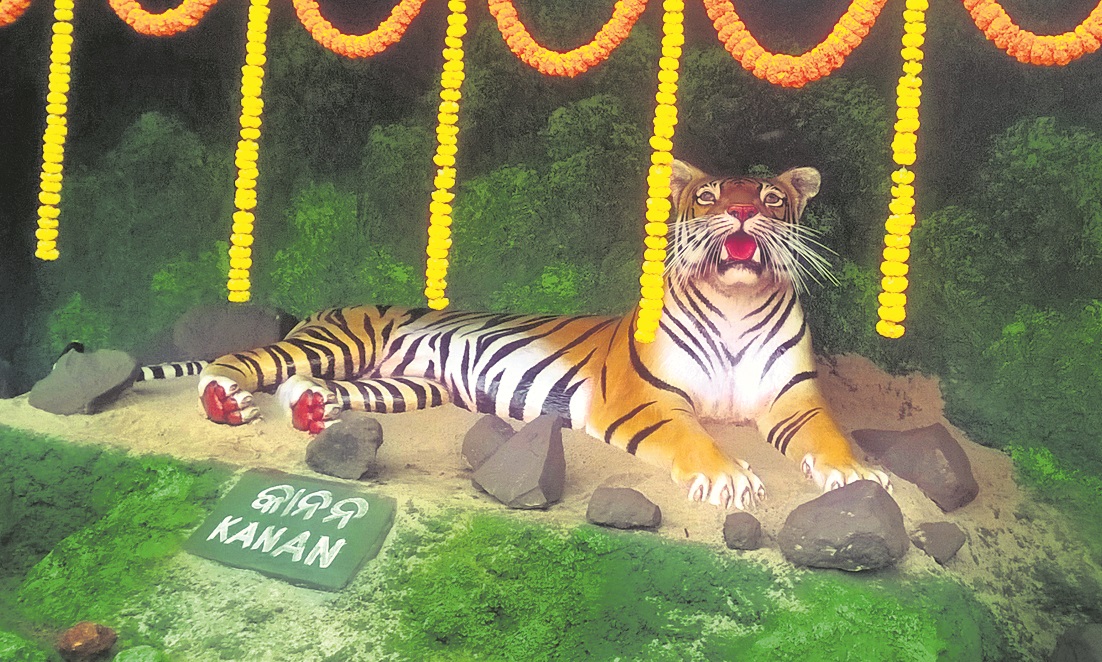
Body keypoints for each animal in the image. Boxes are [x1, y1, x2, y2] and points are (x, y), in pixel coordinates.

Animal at [192, 160, 891, 510]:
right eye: (710, 195)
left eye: (771, 198)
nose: (743, 211)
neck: (734, 304)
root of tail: (334, 302)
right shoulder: (643, 401)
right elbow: (692, 438)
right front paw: (730, 480)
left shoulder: (797, 400)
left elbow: (831, 437)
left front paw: (860, 473)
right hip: (342, 342)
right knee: (241, 359)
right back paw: (226, 399)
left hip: (407, 384)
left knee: (310, 387)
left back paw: (312, 410)